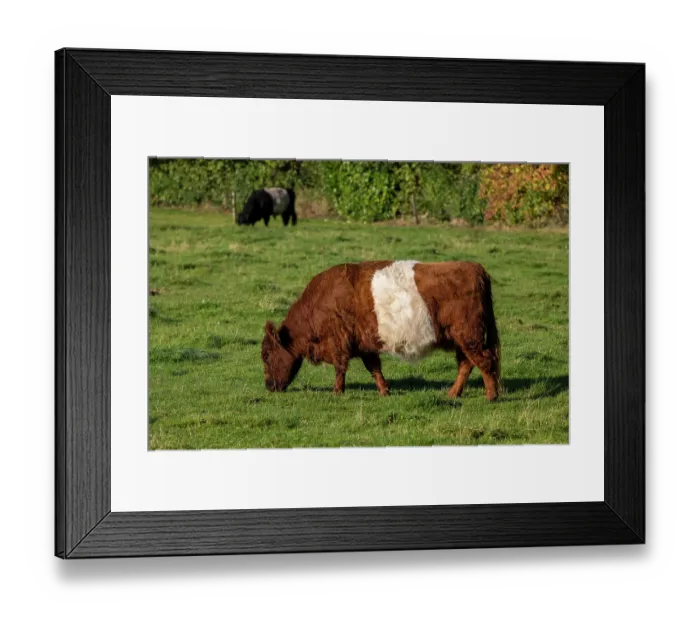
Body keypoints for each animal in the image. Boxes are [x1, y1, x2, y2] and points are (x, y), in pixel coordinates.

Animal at [261, 260, 501, 401]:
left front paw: (337, 392)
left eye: (266, 355)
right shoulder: (365, 345)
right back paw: (453, 393)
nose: (268, 386)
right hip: (463, 338)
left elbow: (340, 368)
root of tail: (476, 268)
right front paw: (385, 391)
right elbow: (374, 369)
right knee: (467, 364)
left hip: (469, 335)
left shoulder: (338, 343)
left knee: (485, 361)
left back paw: (491, 396)